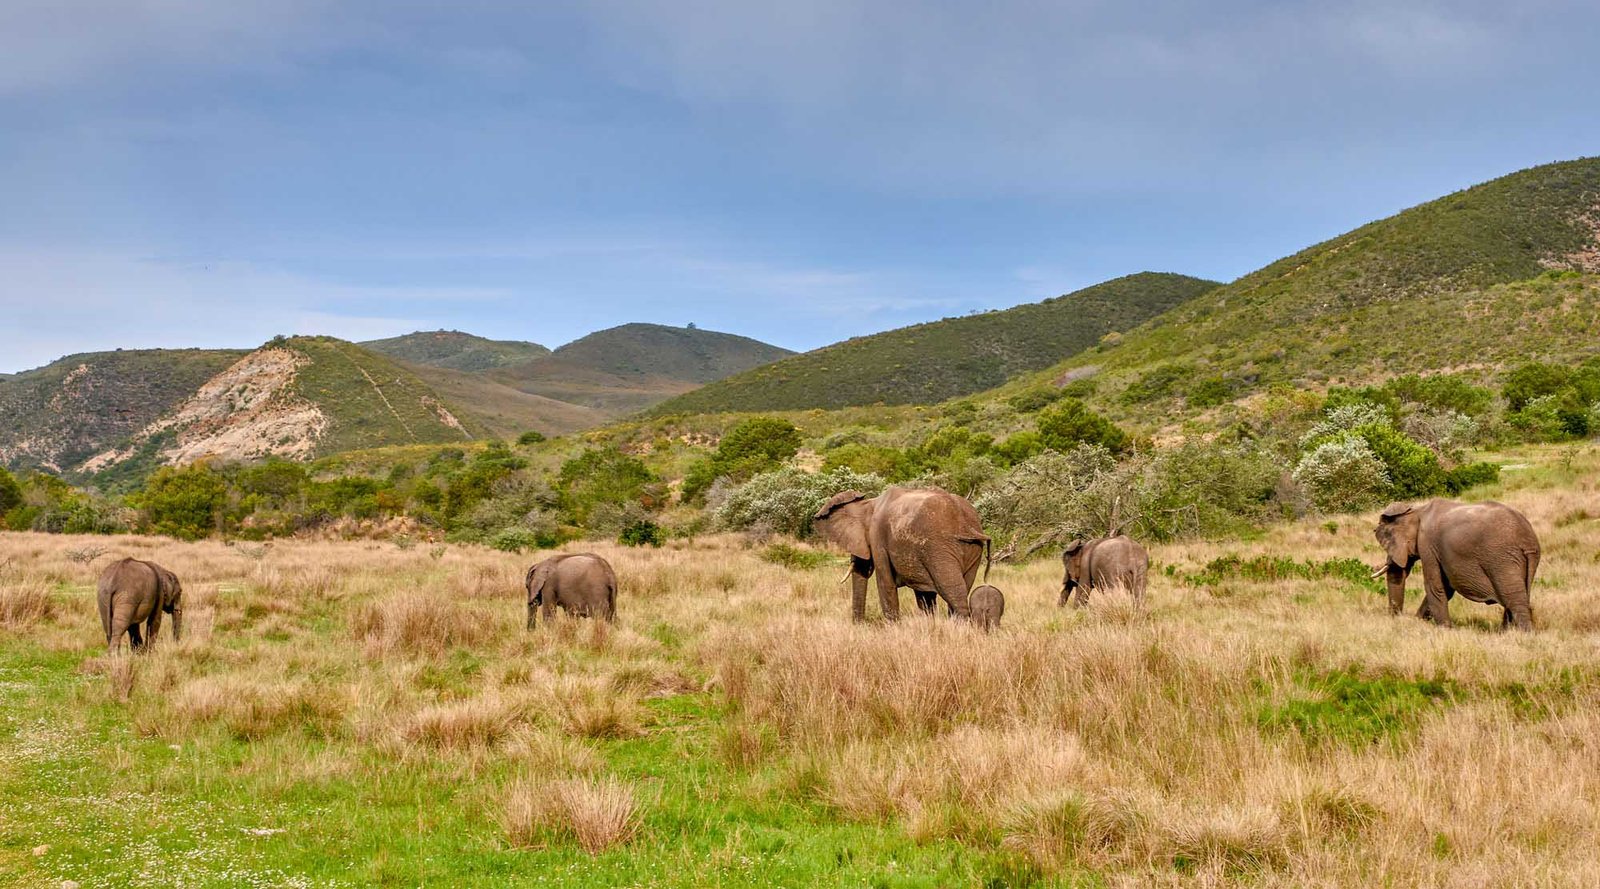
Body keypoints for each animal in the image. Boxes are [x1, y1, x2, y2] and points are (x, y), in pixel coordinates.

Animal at [812, 482, 985, 620]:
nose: (859, 625)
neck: (869, 503)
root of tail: (965, 524)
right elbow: (924, 595)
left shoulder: (878, 539)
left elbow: (885, 583)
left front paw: (893, 627)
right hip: (971, 549)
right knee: (962, 586)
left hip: (939, 548)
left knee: (952, 590)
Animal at [1376, 498, 1536, 633]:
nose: (1397, 619)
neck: (1417, 510)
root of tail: (1528, 538)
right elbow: (1446, 588)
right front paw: (1419, 622)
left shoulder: (1427, 545)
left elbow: (1435, 585)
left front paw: (1444, 629)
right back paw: (1505, 632)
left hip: (1501, 559)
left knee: (1512, 597)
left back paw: (1523, 634)